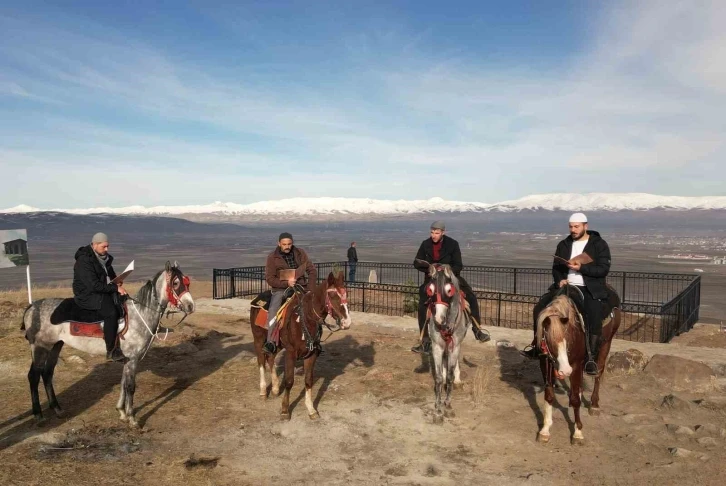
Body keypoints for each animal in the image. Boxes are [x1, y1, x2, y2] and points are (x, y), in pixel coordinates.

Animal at [21, 260, 195, 428]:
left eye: (187, 282)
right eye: (175, 283)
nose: (190, 306)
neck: (140, 314)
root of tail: (32, 307)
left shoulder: (127, 360)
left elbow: (123, 383)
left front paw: (122, 412)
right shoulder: (132, 360)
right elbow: (130, 387)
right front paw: (132, 418)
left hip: (55, 346)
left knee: (47, 374)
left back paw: (57, 409)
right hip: (41, 348)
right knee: (34, 376)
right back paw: (38, 415)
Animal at [250, 272, 352, 420]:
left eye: (346, 294)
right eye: (333, 295)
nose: (347, 322)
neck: (305, 319)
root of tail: (257, 299)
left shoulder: (311, 354)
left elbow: (309, 380)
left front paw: (311, 409)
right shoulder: (290, 353)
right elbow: (289, 381)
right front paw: (285, 410)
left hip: (277, 343)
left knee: (271, 358)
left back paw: (275, 388)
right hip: (258, 339)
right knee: (261, 361)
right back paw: (263, 391)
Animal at [424, 262, 474, 426]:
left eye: (449, 290)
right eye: (430, 289)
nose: (439, 319)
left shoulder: (455, 346)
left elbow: (450, 376)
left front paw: (448, 405)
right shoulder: (437, 347)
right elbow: (439, 377)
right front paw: (438, 410)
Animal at [536, 288, 624, 444]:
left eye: (568, 338)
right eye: (550, 341)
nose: (565, 371)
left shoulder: (576, 364)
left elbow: (576, 400)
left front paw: (577, 432)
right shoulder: (545, 363)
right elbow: (549, 395)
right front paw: (545, 429)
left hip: (606, 345)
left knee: (598, 374)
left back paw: (594, 405)